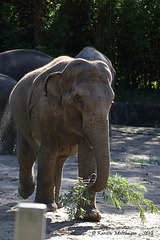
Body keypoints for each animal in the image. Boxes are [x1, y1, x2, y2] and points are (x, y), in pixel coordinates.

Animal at [10, 55, 114, 220]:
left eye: (111, 100)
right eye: (78, 99)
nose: (92, 177)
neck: (63, 74)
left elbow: (87, 153)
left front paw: (90, 215)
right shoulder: (43, 110)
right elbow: (47, 149)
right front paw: (46, 207)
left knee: (58, 161)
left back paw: (58, 204)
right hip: (19, 119)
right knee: (26, 156)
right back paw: (26, 192)